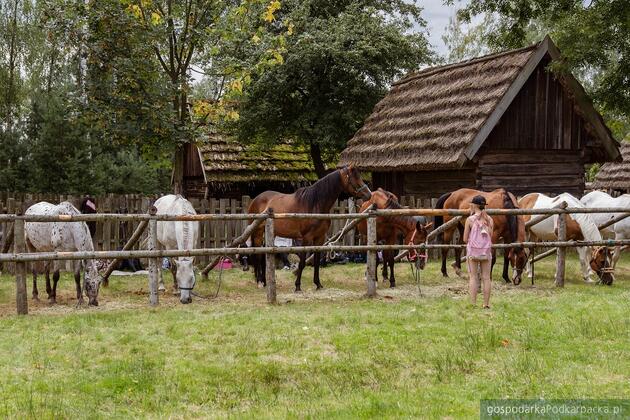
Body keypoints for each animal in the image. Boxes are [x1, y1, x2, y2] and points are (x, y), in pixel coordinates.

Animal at [248, 165, 376, 292]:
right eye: (355, 178)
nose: (369, 195)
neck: (315, 205)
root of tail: (256, 199)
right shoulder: (306, 238)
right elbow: (302, 263)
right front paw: (297, 286)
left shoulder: (319, 238)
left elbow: (316, 261)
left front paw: (318, 284)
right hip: (258, 233)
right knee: (258, 256)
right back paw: (259, 282)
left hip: (270, 233)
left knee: (265, 255)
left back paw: (265, 282)